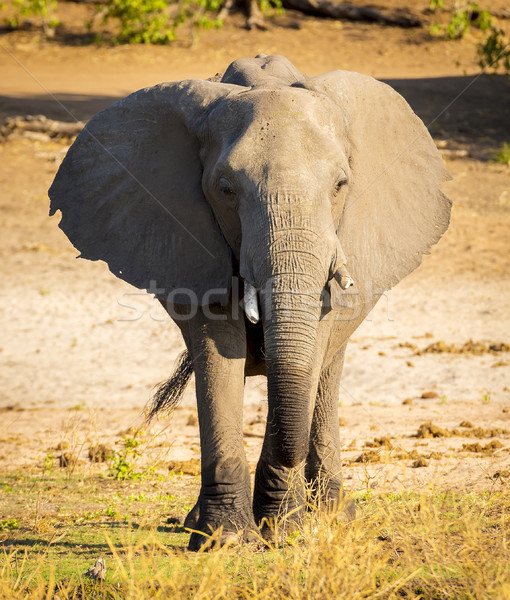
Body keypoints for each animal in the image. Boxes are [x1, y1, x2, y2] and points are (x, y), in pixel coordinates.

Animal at [49, 54, 452, 552]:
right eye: (225, 188)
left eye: (341, 184)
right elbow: (218, 346)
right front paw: (223, 540)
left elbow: (312, 348)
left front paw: (284, 531)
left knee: (328, 371)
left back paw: (333, 517)